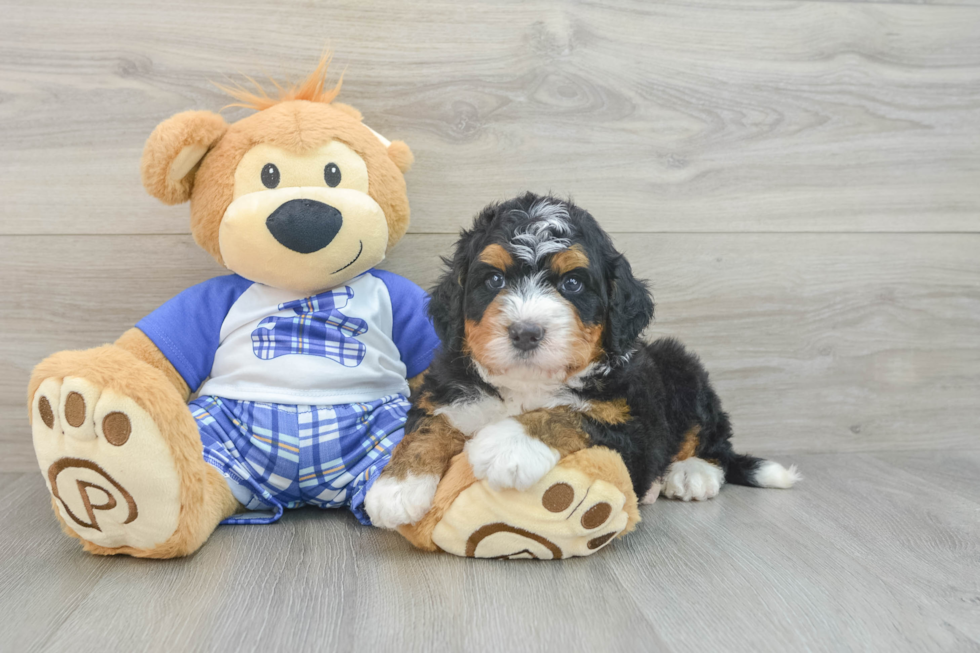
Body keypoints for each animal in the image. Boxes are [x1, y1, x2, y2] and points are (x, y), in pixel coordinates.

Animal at [364, 191, 800, 528]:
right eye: (494, 280)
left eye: (572, 283)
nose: (526, 332)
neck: (527, 383)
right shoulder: (447, 390)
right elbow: (430, 426)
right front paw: (396, 487)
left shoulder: (633, 427)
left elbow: (569, 414)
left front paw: (508, 444)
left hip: (682, 367)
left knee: (714, 439)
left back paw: (692, 473)